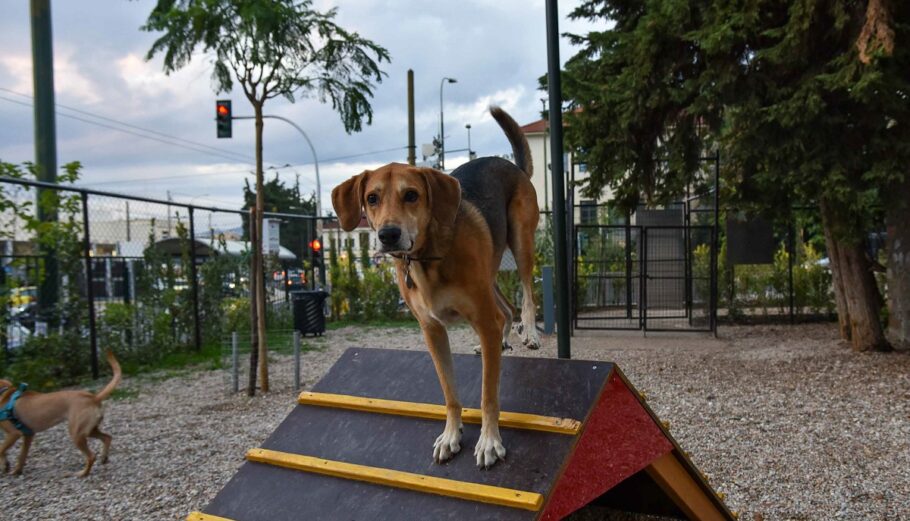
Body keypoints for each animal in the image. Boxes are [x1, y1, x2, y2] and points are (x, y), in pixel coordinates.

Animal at [334, 105, 540, 468]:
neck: (427, 258)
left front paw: (489, 441)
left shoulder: (480, 318)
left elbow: (488, 395)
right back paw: (503, 339)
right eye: (372, 198)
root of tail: (512, 166)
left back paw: (528, 332)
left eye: (411, 195)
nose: (388, 235)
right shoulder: (433, 330)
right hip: (489, 274)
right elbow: (449, 392)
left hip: (521, 241)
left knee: (527, 296)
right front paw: (451, 434)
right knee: (505, 310)